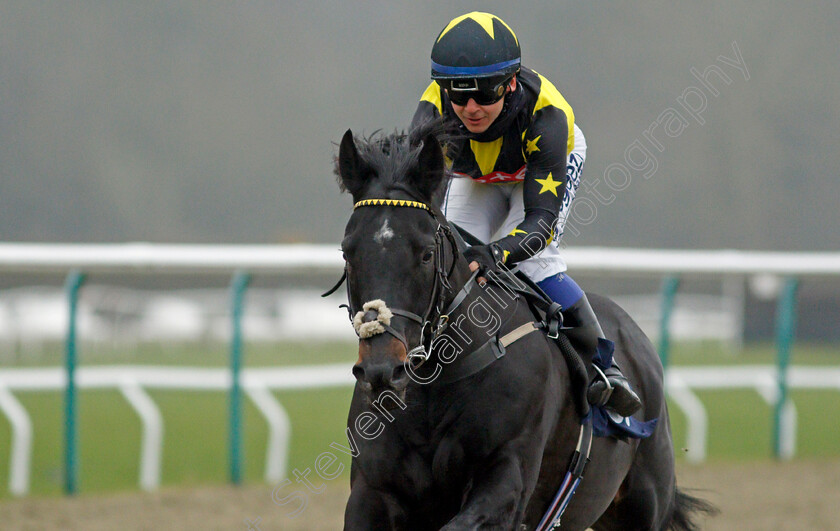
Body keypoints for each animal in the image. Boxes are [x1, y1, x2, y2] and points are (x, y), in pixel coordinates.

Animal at [332, 122, 712, 528]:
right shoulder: (372, 490)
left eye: (426, 254)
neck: (439, 382)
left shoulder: (507, 476)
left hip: (645, 501)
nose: (382, 369)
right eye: (347, 252)